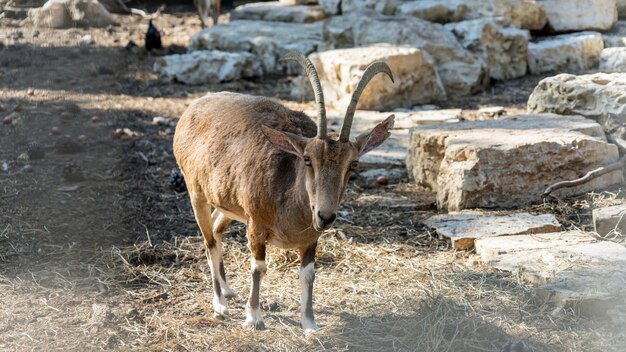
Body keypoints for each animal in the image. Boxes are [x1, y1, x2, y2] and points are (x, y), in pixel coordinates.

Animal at [173, 51, 392, 330]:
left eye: (353, 164)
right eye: (308, 159)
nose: (325, 216)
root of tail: (192, 109)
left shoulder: (310, 238)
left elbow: (308, 274)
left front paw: (309, 324)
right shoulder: (255, 225)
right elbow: (258, 267)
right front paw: (254, 318)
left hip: (229, 202)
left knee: (216, 226)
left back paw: (228, 290)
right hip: (196, 192)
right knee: (209, 239)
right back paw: (219, 303)